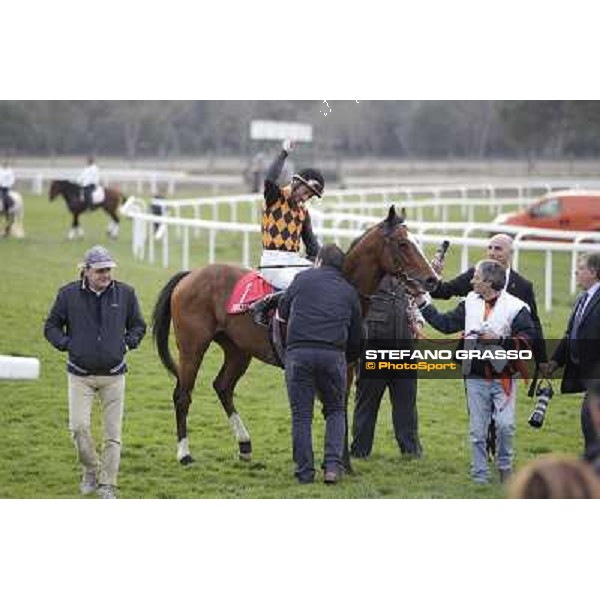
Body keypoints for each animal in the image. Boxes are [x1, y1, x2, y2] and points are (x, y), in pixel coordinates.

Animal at [152, 204, 438, 472]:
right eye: (403, 244)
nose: (432, 279)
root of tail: (190, 275)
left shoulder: (346, 366)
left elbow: (340, 409)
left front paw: (344, 464)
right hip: (192, 347)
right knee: (182, 395)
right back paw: (184, 454)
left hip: (238, 350)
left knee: (222, 386)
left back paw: (245, 446)